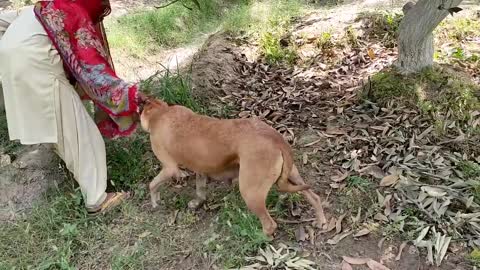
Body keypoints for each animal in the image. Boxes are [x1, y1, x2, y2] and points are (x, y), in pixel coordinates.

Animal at [140, 98, 326, 235]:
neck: (161, 113)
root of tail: (276, 139)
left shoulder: (169, 168)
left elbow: (152, 184)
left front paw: (155, 201)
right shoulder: (201, 168)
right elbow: (200, 189)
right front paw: (197, 202)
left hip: (251, 192)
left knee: (269, 224)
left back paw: (257, 238)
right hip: (294, 176)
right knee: (314, 197)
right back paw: (321, 221)